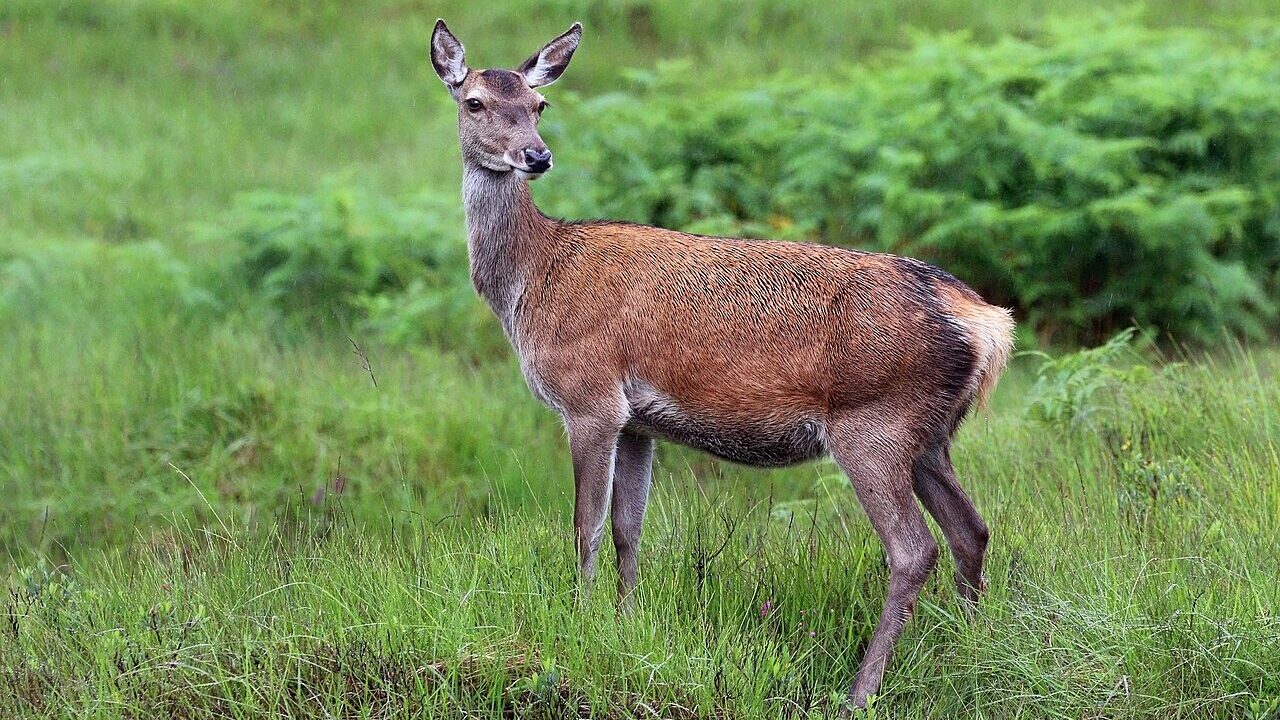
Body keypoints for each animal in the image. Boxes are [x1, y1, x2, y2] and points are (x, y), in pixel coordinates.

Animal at [429, 19, 1015, 707]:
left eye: (540, 104)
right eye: (475, 103)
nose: (537, 156)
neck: (532, 280)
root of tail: (985, 322)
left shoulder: (589, 398)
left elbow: (585, 526)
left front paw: (578, 620)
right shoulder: (637, 422)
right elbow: (628, 529)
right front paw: (623, 625)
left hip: (875, 424)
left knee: (913, 548)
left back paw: (860, 690)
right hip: (930, 434)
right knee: (971, 529)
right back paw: (968, 652)